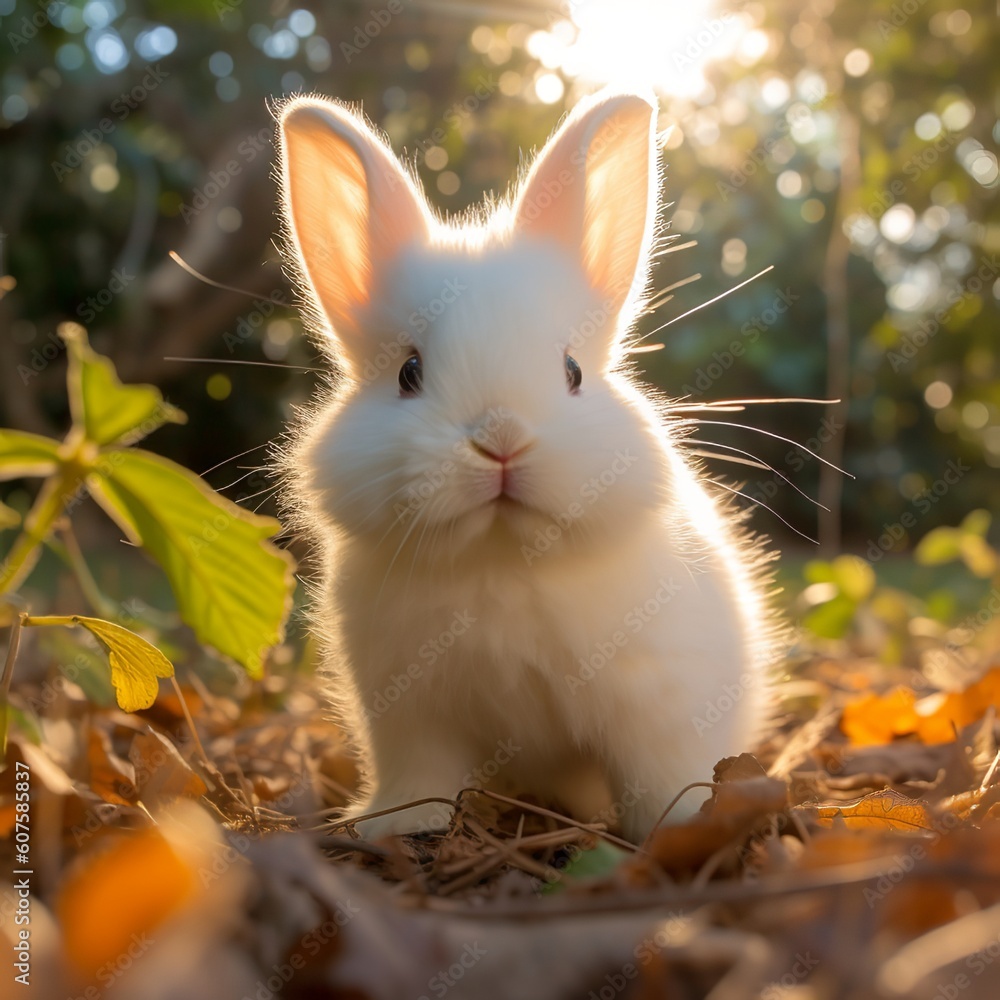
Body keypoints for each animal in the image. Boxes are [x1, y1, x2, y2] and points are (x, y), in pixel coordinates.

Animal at [278, 88, 784, 844]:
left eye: (572, 370)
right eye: (408, 372)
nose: (502, 438)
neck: (501, 559)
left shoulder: (659, 707)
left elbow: (662, 778)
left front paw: (683, 825)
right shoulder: (408, 717)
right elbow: (420, 781)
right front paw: (397, 827)